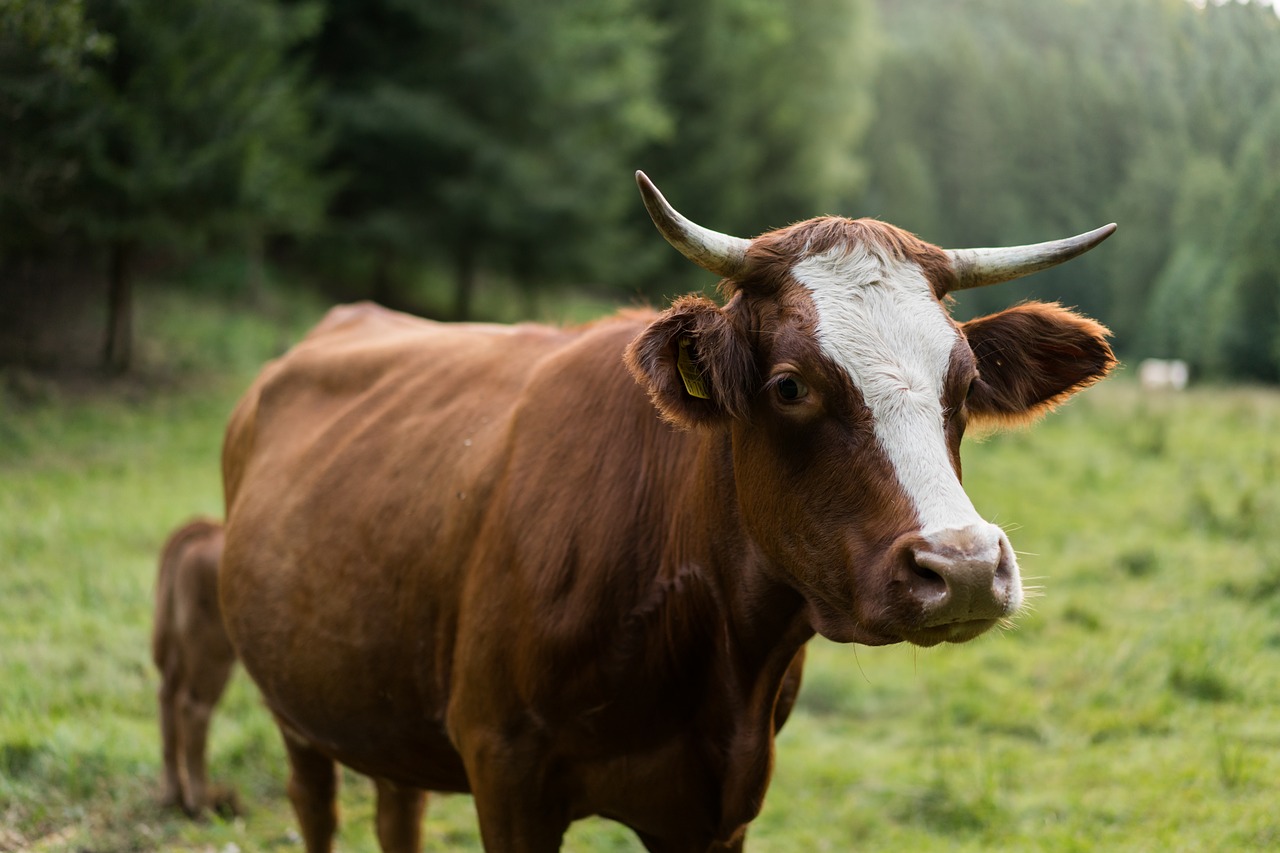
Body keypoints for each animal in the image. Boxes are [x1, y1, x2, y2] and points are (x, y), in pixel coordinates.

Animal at [152, 514, 238, 814]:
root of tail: (207, 529)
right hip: (212, 659)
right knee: (192, 710)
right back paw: (202, 803)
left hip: (175, 654)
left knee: (167, 702)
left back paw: (173, 795)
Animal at [222, 169, 1121, 845]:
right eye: (788, 385)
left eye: (965, 384)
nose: (963, 568)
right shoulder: (505, 773)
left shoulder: (720, 802)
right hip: (296, 711)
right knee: (316, 807)